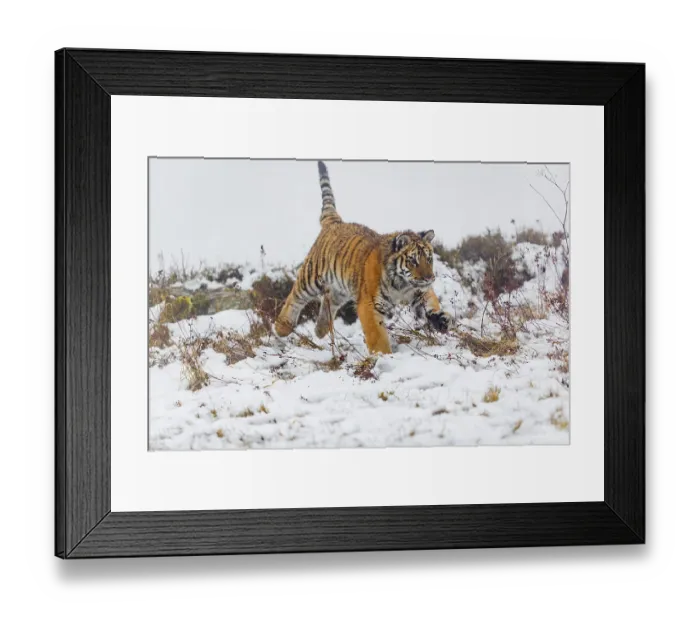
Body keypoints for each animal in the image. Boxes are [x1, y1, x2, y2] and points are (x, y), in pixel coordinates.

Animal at [274, 161, 452, 354]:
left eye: (429, 259)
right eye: (413, 260)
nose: (429, 278)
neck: (402, 284)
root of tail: (335, 222)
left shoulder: (419, 292)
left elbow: (431, 303)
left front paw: (442, 320)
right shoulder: (369, 304)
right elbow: (377, 335)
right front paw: (384, 356)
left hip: (339, 289)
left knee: (328, 301)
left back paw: (320, 330)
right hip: (311, 278)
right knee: (295, 297)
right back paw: (281, 328)